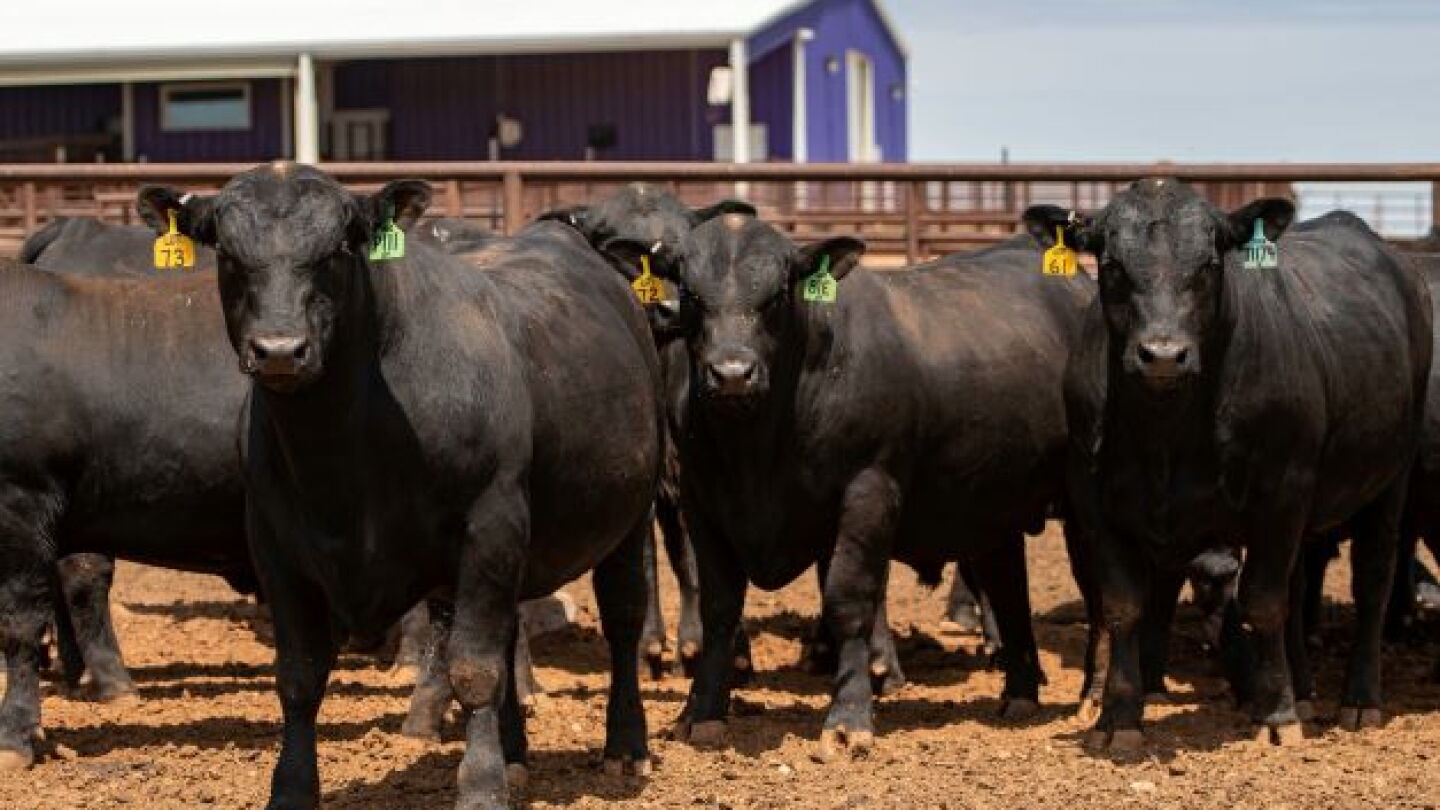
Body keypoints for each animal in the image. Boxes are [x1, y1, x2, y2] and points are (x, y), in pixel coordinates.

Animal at [136, 163, 662, 810]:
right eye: (229, 254)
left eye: (338, 248)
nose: (280, 350)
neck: (342, 462)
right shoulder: (275, 545)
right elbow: (299, 676)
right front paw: (291, 789)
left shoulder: (490, 524)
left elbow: (475, 669)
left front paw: (480, 787)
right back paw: (515, 755)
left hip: (630, 515)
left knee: (622, 617)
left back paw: (625, 748)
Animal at [608, 212, 1094, 760]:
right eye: (690, 293)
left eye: (778, 293)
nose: (732, 374)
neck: (758, 449)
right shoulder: (702, 500)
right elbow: (719, 606)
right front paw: (702, 712)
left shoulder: (868, 490)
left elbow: (848, 600)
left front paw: (848, 718)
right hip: (993, 507)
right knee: (1009, 590)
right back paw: (1020, 694)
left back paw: (1093, 699)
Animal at [1038, 178, 1431, 750]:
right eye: (1111, 265)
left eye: (1208, 265)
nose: (1162, 355)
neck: (1166, 434)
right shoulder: (1095, 503)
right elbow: (1123, 606)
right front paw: (1117, 719)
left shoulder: (1282, 492)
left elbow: (1262, 602)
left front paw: (1277, 717)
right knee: (1297, 588)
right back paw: (1303, 690)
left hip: (1389, 480)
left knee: (1372, 583)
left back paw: (1357, 701)